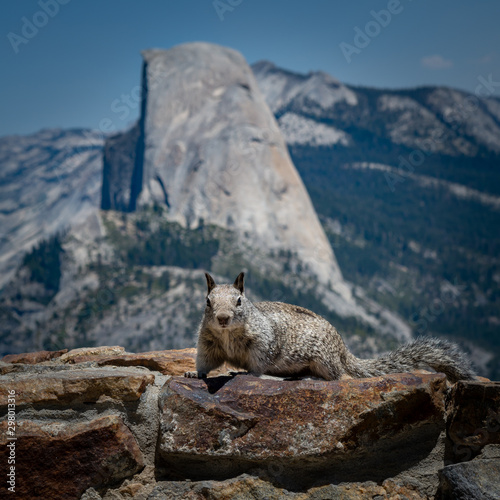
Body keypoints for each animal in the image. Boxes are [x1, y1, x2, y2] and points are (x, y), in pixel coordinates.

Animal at [185, 272, 476, 380]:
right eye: (208, 301)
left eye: (239, 301)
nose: (223, 318)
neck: (227, 334)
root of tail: (343, 349)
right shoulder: (207, 343)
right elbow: (206, 362)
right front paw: (193, 374)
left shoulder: (261, 342)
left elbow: (259, 363)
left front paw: (245, 372)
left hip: (323, 358)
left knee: (337, 375)